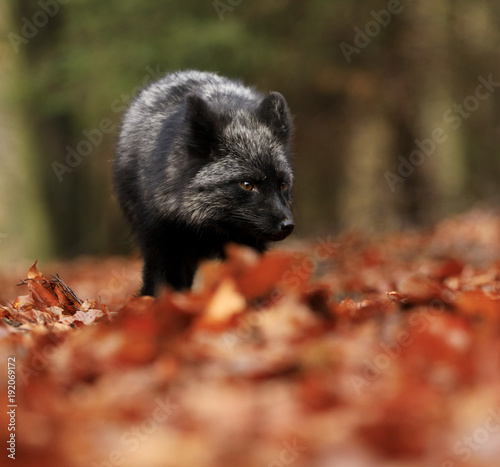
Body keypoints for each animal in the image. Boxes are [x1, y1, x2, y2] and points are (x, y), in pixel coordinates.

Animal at [114, 69, 292, 296]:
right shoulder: (159, 236)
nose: (287, 225)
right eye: (247, 185)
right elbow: (159, 282)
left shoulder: (246, 245)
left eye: (283, 185)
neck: (202, 223)